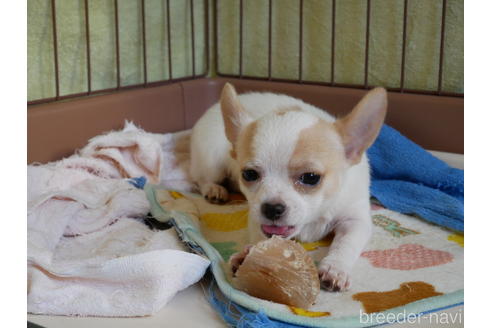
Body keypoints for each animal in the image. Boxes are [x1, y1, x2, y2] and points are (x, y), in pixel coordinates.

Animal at [190, 83, 386, 290]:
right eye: (249, 174)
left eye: (311, 178)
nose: (272, 208)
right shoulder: (257, 219)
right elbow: (262, 236)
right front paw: (250, 254)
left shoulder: (355, 221)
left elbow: (346, 244)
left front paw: (335, 267)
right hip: (211, 160)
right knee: (199, 178)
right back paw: (213, 189)